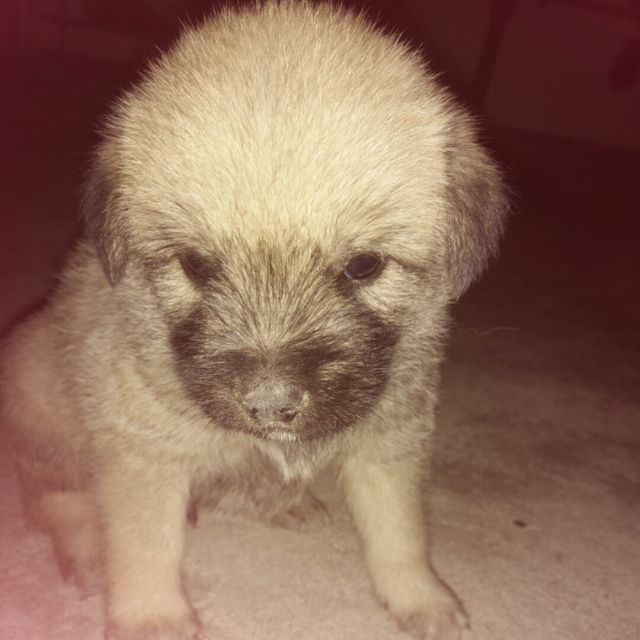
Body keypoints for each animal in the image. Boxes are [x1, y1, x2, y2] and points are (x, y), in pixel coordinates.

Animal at [0, 2, 508, 639]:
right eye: (195, 263)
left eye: (363, 265)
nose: (269, 406)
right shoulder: (141, 454)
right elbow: (146, 545)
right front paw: (152, 615)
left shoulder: (391, 442)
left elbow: (400, 535)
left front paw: (421, 599)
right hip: (37, 399)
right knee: (55, 498)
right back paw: (88, 547)